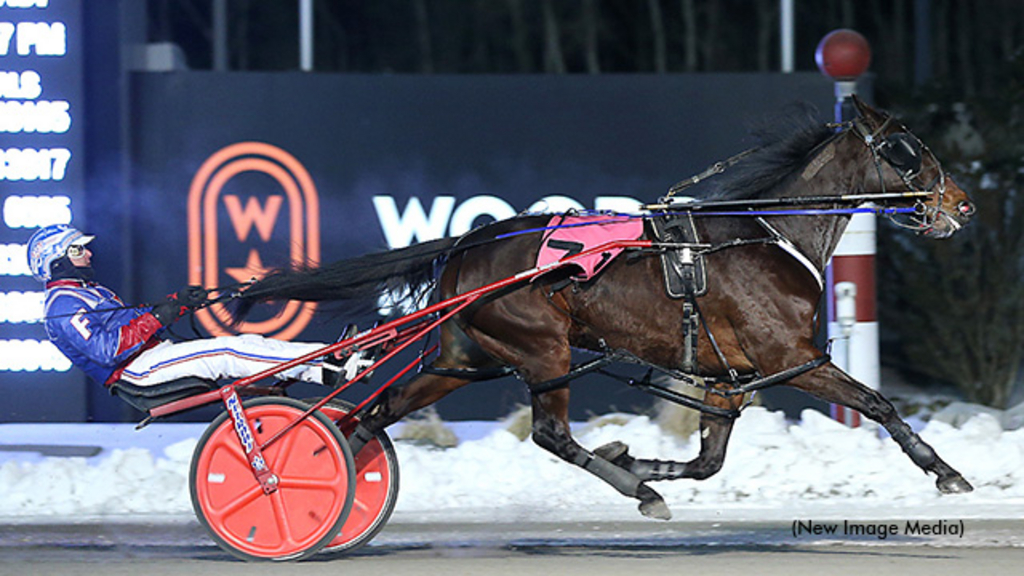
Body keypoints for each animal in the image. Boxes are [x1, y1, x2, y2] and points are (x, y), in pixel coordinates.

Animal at [239, 99, 974, 520]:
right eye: (905, 149)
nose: (961, 204)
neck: (768, 234)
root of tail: (469, 244)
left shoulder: (727, 376)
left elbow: (709, 460)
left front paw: (640, 458)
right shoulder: (790, 357)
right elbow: (877, 402)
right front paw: (946, 472)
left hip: (465, 357)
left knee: (375, 415)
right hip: (544, 349)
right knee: (549, 434)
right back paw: (637, 492)